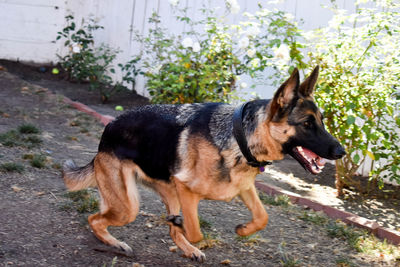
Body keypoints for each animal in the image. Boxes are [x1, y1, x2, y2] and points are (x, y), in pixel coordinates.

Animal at [62, 66, 344, 262]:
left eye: (322, 121)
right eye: (307, 123)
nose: (341, 151)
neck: (239, 137)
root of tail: (106, 133)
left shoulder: (244, 187)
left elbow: (262, 217)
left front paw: (244, 229)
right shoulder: (186, 190)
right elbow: (196, 231)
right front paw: (187, 229)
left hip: (165, 193)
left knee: (165, 229)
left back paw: (186, 248)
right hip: (129, 206)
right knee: (94, 219)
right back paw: (116, 242)